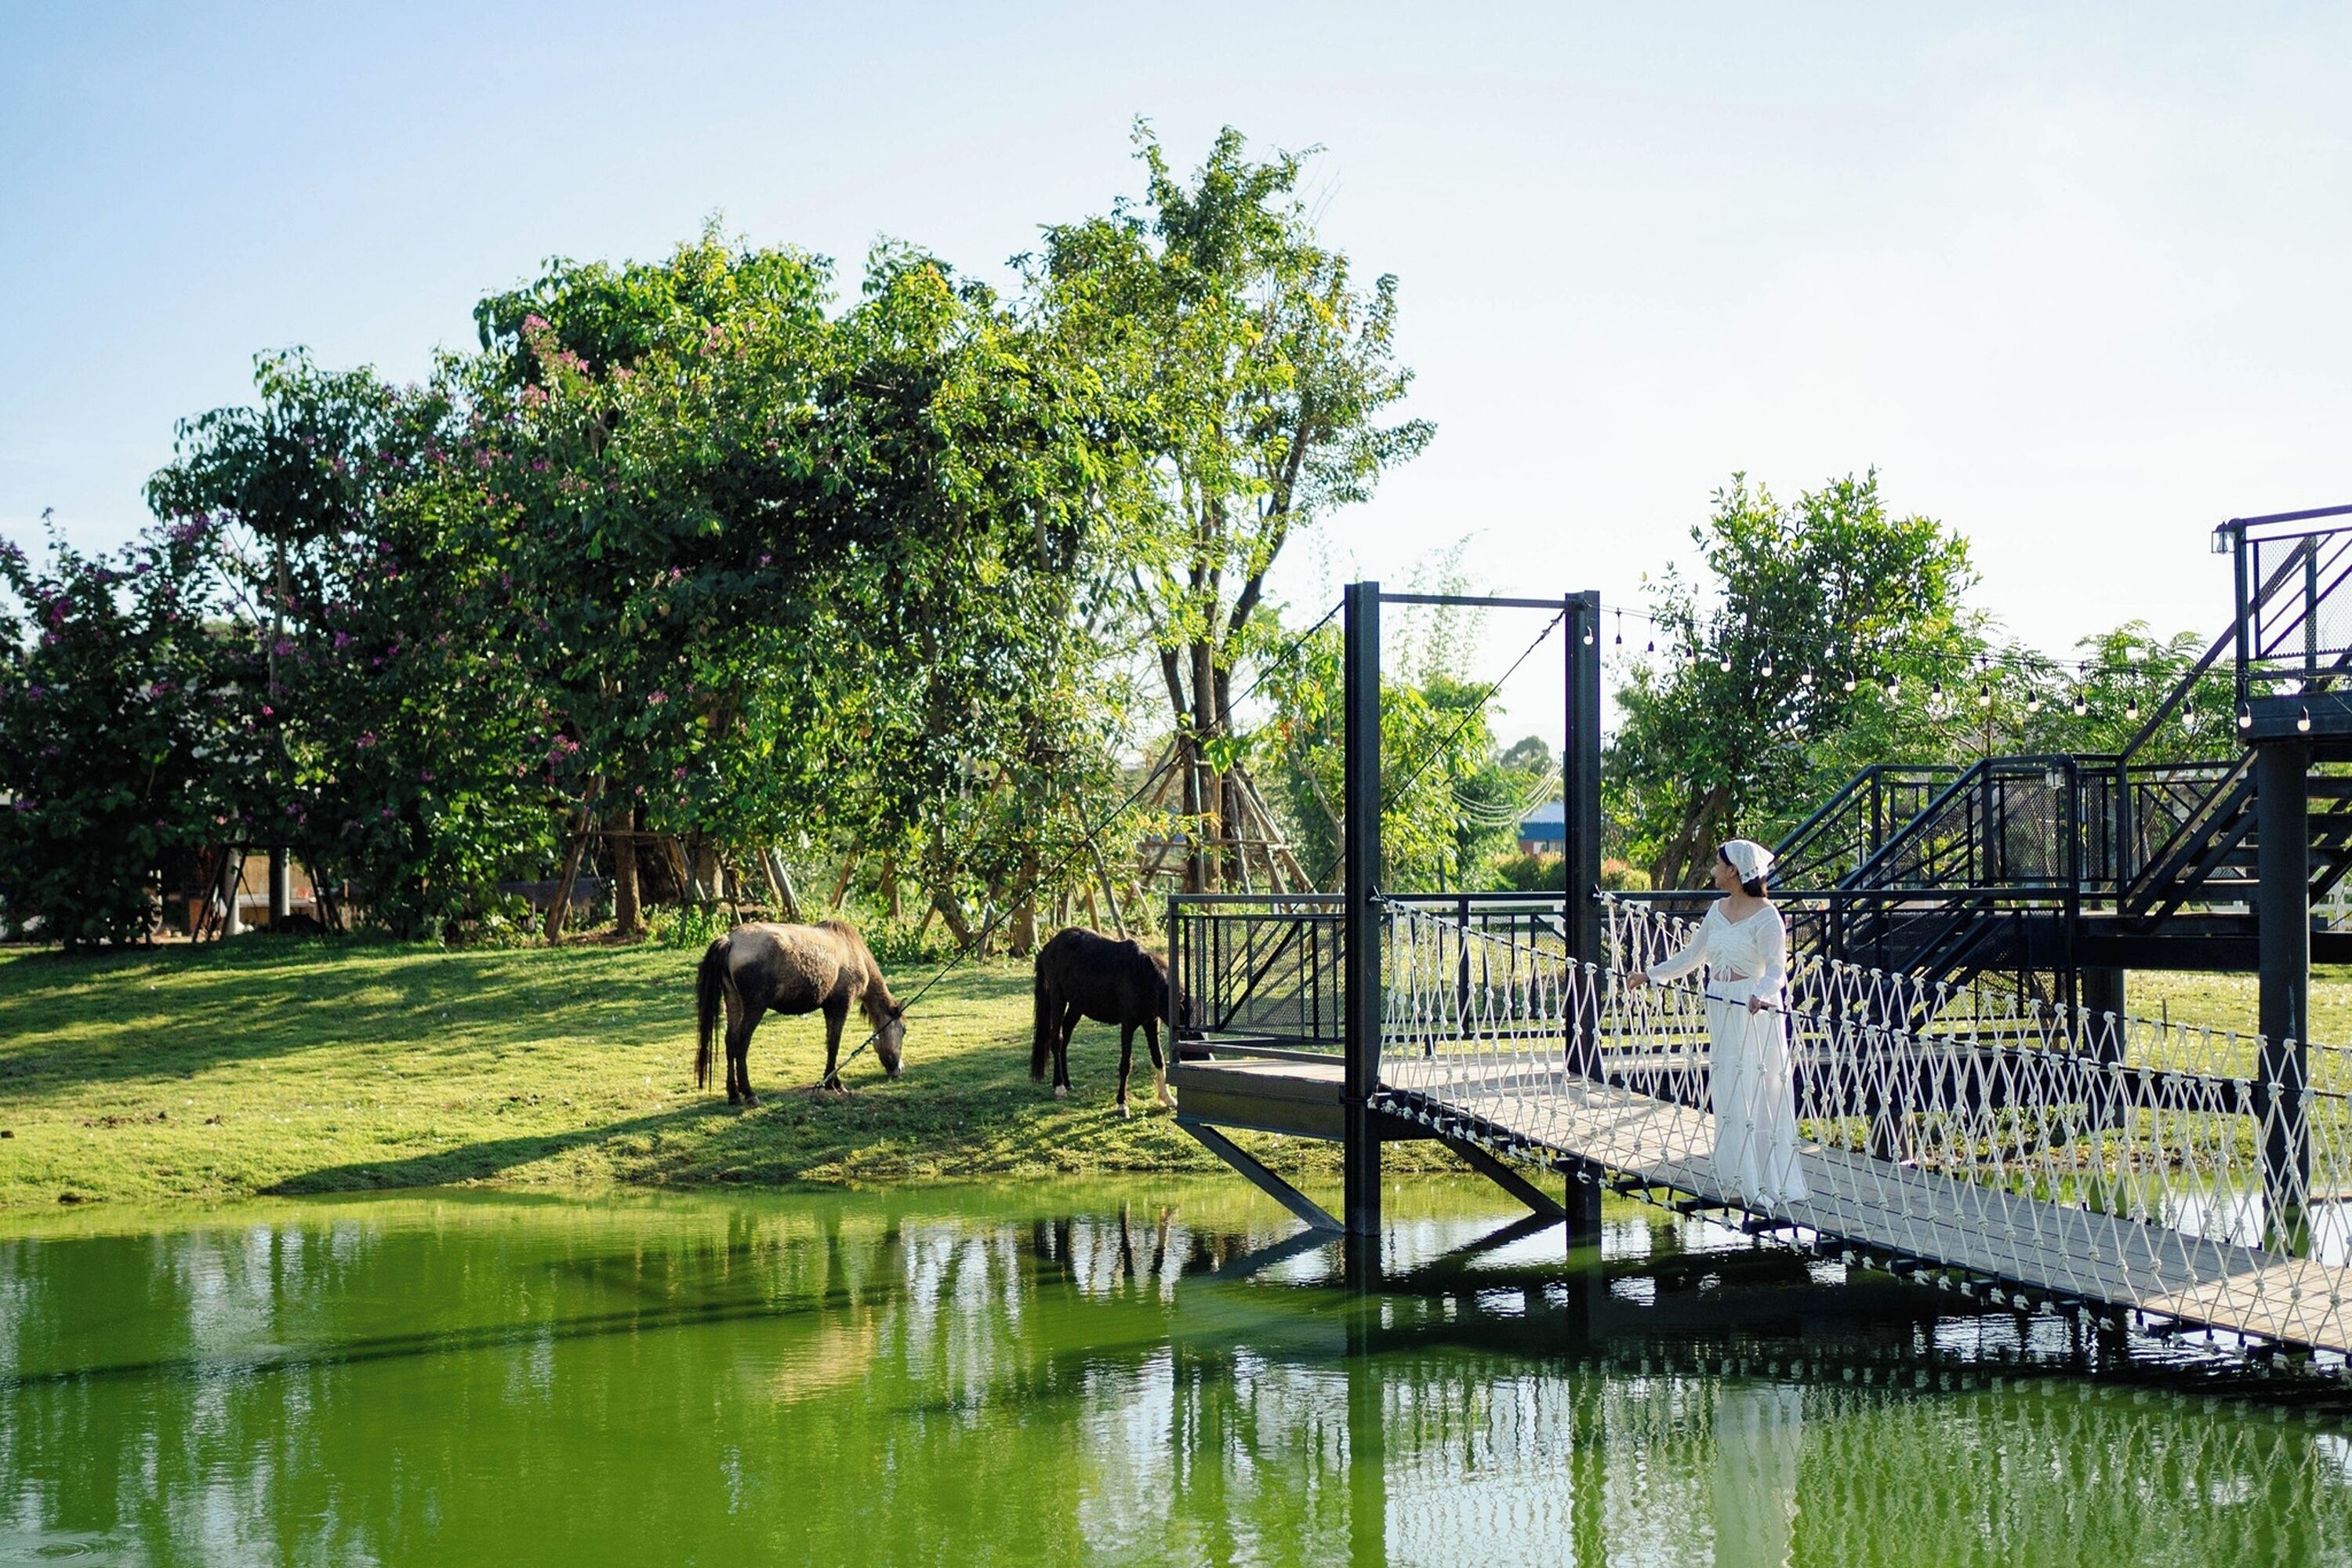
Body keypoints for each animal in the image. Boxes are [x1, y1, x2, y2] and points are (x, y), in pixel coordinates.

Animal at [696, 920, 906, 1104]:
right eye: (903, 1031)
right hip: (754, 1007)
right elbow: (834, 1044)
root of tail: (731, 940)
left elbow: (830, 1043)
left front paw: (830, 1081)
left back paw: (733, 1094)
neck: (853, 951)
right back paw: (749, 1094)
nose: (899, 1069)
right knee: (741, 1043)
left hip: (733, 1002)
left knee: (730, 1042)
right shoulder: (841, 1006)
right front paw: (834, 1083)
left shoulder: (829, 1008)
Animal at [1031, 927, 1190, 1117]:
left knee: (1065, 1037)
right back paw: (1059, 1086)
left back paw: (1067, 1082)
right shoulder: (1128, 1024)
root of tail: (1048, 948)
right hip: (1058, 999)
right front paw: (1122, 1104)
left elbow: (1158, 1058)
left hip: (1077, 1006)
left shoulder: (1151, 1023)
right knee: (1056, 1039)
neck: (1142, 975)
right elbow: (1126, 1064)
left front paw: (1168, 1098)